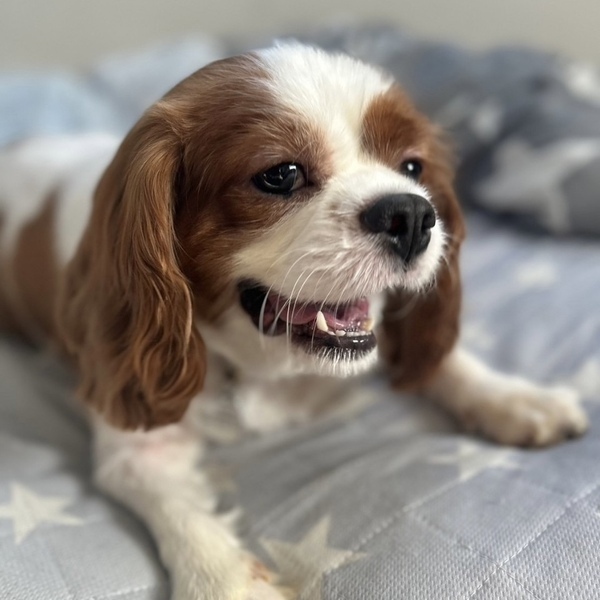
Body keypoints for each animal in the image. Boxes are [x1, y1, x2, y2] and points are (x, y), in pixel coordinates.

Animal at [0, 44, 588, 599]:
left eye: (413, 168)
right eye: (280, 175)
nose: (412, 214)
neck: (263, 367)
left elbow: (443, 360)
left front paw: (511, 397)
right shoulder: (135, 434)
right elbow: (183, 515)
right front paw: (229, 582)